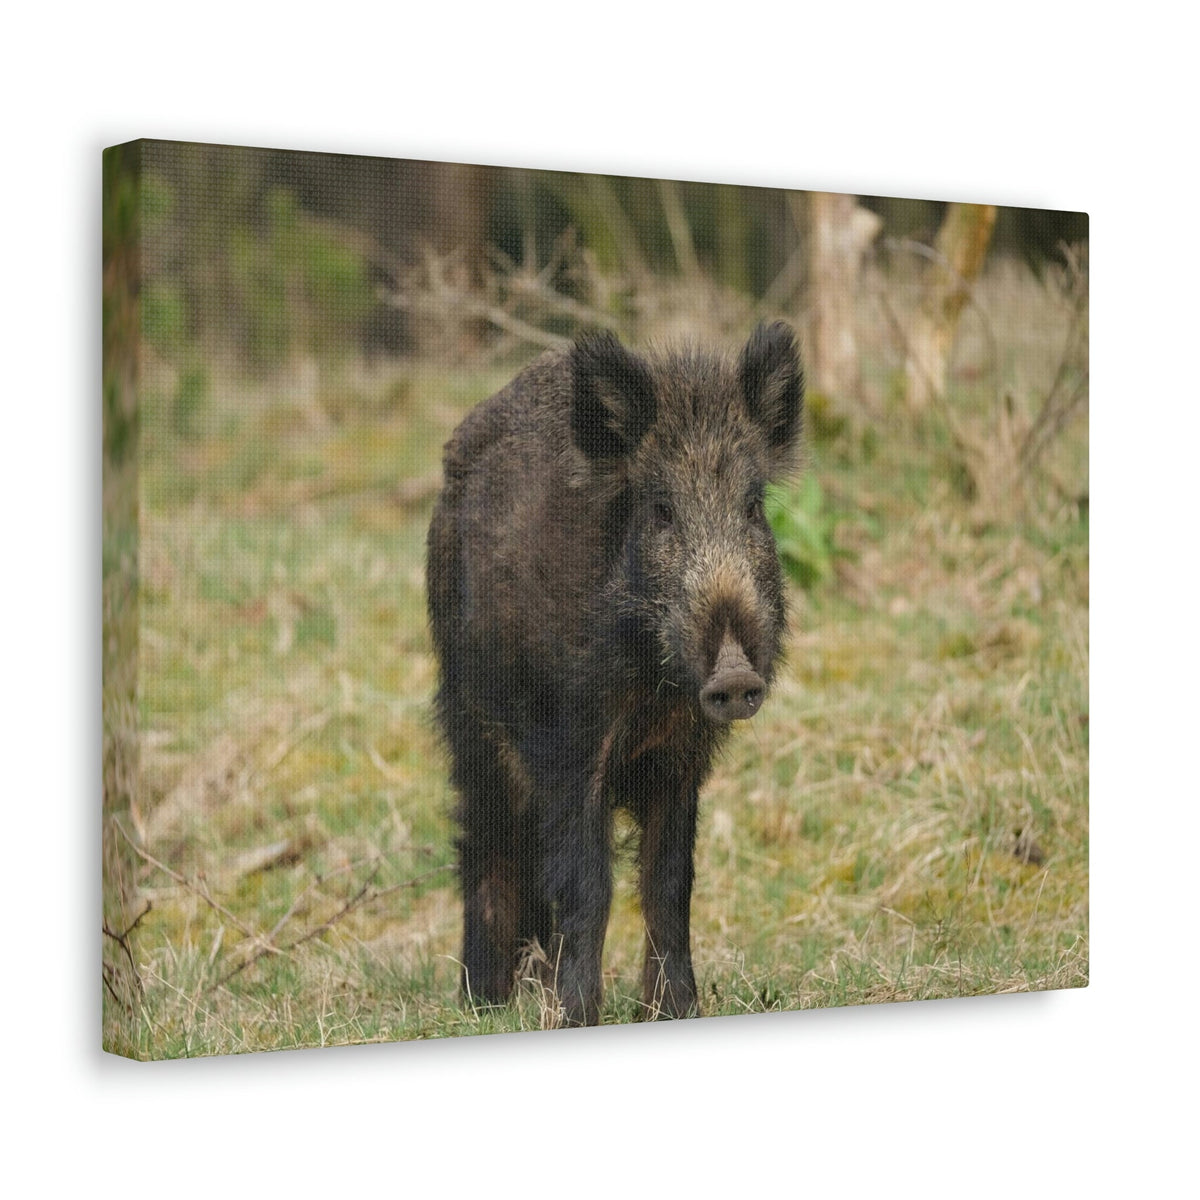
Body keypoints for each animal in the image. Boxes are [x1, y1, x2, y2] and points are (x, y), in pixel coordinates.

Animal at [426, 322, 803, 1027]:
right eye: (660, 509)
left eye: (752, 506)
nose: (735, 675)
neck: (650, 687)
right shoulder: (567, 744)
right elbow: (587, 884)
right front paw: (577, 1018)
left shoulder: (683, 756)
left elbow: (670, 882)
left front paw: (677, 1012)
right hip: (467, 712)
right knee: (485, 838)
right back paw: (483, 1003)